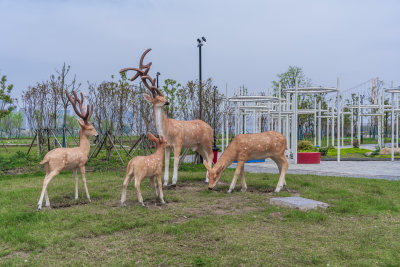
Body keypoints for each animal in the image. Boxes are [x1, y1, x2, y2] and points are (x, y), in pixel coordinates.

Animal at [121, 48, 214, 186]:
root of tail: (210, 127)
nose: (167, 102)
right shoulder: (168, 145)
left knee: (211, 156)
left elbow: (175, 161)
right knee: (206, 158)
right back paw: (207, 179)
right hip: (198, 145)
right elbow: (166, 162)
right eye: (158, 99)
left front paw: (174, 181)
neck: (167, 130)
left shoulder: (178, 142)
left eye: (164, 96)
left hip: (207, 141)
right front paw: (165, 182)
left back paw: (210, 179)